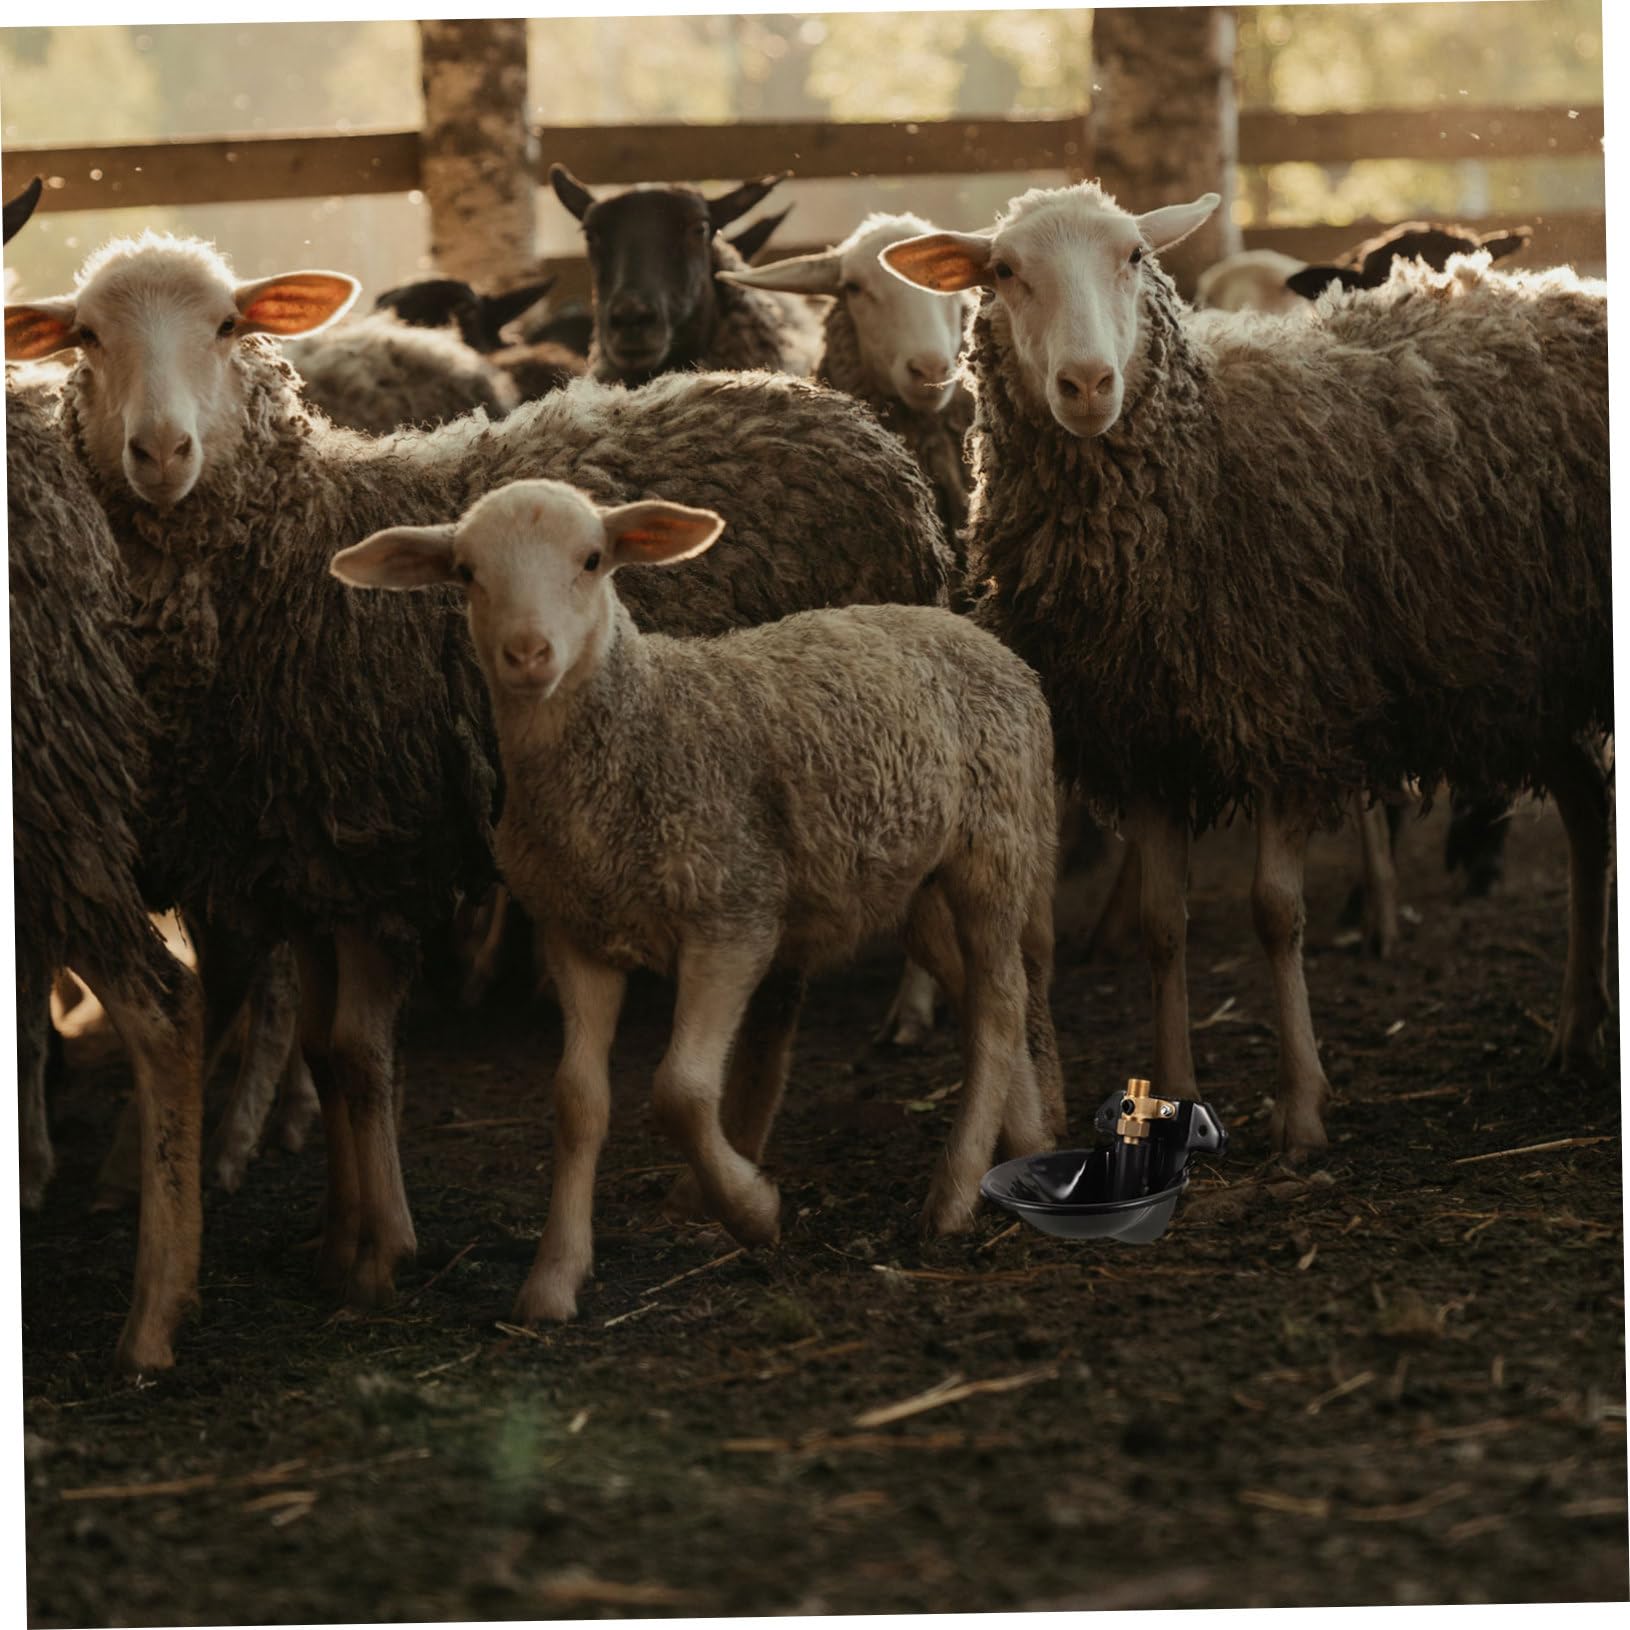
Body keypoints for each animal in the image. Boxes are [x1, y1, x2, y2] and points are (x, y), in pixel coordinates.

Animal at [5, 230, 951, 1309]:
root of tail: (846, 420)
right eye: (85, 335)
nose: (161, 453)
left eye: (227, 323)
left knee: (781, 992)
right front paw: (337, 1236)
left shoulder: (378, 844)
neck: (292, 554)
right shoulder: (304, 853)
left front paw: (381, 1249)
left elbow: (360, 1057)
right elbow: (325, 1052)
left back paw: (728, 1172)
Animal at [332, 479, 1064, 1322]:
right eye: (466, 572)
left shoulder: (732, 913)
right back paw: (1029, 1145)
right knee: (979, 991)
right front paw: (554, 1278)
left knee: (1000, 1004)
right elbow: (578, 1102)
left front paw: (752, 1210)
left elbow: (680, 1092)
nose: (526, 654)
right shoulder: (576, 935)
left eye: (593, 559)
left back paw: (951, 1197)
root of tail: (973, 631)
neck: (638, 734)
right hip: (909, 882)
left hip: (993, 848)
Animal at [883, 181, 1611, 1156]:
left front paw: (1301, 1106)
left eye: (1133, 257)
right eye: (1003, 272)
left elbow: (1274, 913)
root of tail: (1568, 286)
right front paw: (1172, 1094)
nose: (1087, 384)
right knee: (1588, 809)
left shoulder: (1285, 713)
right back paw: (1576, 1027)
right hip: (1523, 677)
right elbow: (1163, 926)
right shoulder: (1143, 740)